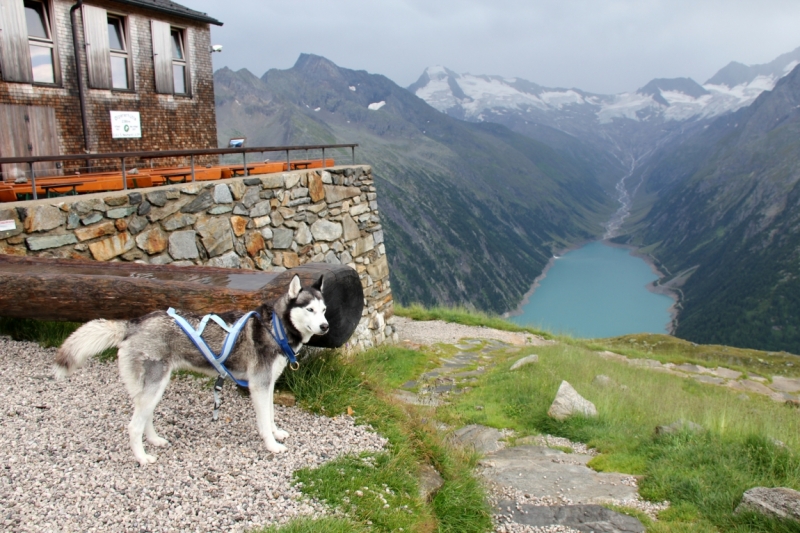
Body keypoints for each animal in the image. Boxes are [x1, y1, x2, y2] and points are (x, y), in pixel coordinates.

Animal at [55, 274, 328, 466]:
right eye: (309, 310)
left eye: (324, 310)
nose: (325, 326)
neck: (276, 329)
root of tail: (134, 323)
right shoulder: (259, 385)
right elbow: (263, 419)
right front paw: (271, 445)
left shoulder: (268, 384)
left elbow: (271, 415)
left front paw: (276, 433)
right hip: (155, 385)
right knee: (133, 426)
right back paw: (142, 458)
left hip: (151, 388)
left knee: (145, 417)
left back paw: (154, 440)